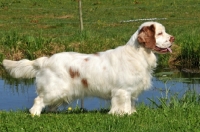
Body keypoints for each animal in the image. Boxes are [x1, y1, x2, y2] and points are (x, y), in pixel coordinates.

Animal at [2, 21, 174, 115]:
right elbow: (122, 104)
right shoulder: (122, 90)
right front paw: (122, 114)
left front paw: (131, 114)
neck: (139, 53)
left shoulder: (131, 91)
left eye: (164, 32)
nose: (173, 38)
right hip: (54, 89)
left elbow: (130, 103)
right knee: (38, 100)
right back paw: (35, 114)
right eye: (160, 33)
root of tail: (45, 60)